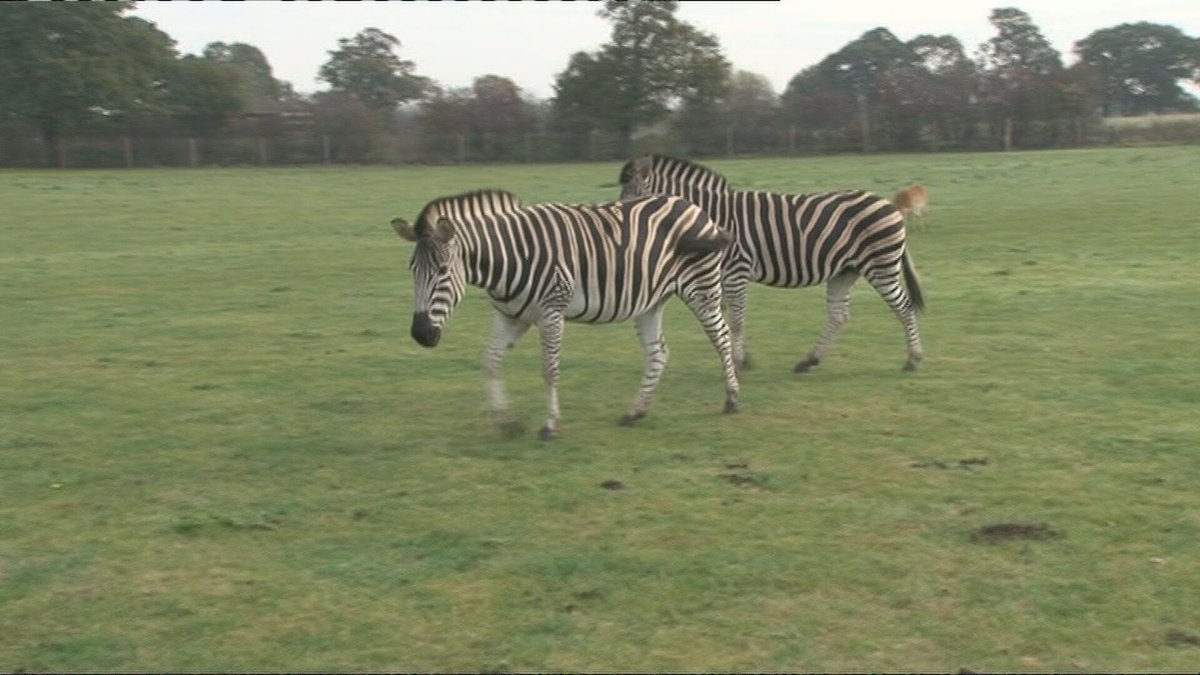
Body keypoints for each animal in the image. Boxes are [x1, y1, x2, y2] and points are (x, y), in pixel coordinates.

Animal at [391, 186, 739, 439]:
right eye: (412, 270)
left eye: (443, 271)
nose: (420, 334)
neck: (507, 258)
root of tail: (693, 206)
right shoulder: (511, 317)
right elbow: (489, 362)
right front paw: (507, 422)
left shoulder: (551, 312)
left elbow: (549, 370)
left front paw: (549, 425)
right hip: (651, 300)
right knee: (659, 352)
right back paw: (635, 412)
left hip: (701, 287)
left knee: (721, 335)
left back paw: (732, 399)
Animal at [619, 152, 926, 369]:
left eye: (629, 191)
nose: (621, 223)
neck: (714, 216)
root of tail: (888, 205)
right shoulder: (724, 274)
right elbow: (730, 317)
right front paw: (740, 356)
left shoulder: (736, 270)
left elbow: (737, 320)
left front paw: (739, 361)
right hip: (845, 271)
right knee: (839, 315)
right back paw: (809, 360)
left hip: (881, 266)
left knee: (904, 306)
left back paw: (913, 358)